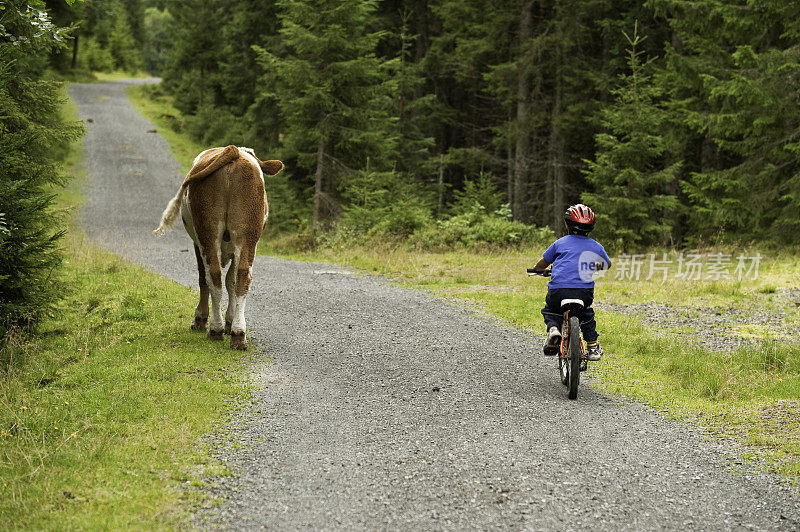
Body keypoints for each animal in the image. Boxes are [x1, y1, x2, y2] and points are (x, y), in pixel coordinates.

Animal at [154, 147, 284, 350]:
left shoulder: (197, 243)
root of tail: (234, 151)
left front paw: (202, 319)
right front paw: (230, 322)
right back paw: (238, 333)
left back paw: (215, 328)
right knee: (242, 276)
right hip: (247, 235)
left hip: (207, 233)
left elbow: (207, 279)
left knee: (212, 276)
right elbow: (231, 280)